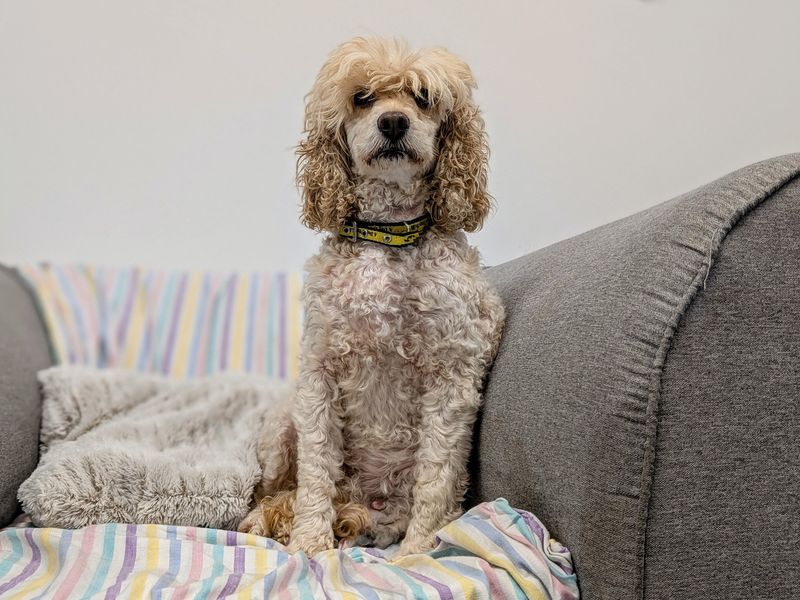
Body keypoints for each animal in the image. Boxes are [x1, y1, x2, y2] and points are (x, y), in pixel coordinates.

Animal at [234, 35, 504, 556]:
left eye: (422, 97)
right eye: (362, 97)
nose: (393, 122)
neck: (388, 236)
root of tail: (364, 503)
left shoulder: (453, 374)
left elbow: (436, 478)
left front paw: (418, 554)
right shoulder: (319, 371)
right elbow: (316, 471)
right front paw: (309, 543)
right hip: (281, 427)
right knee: (275, 491)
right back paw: (268, 522)